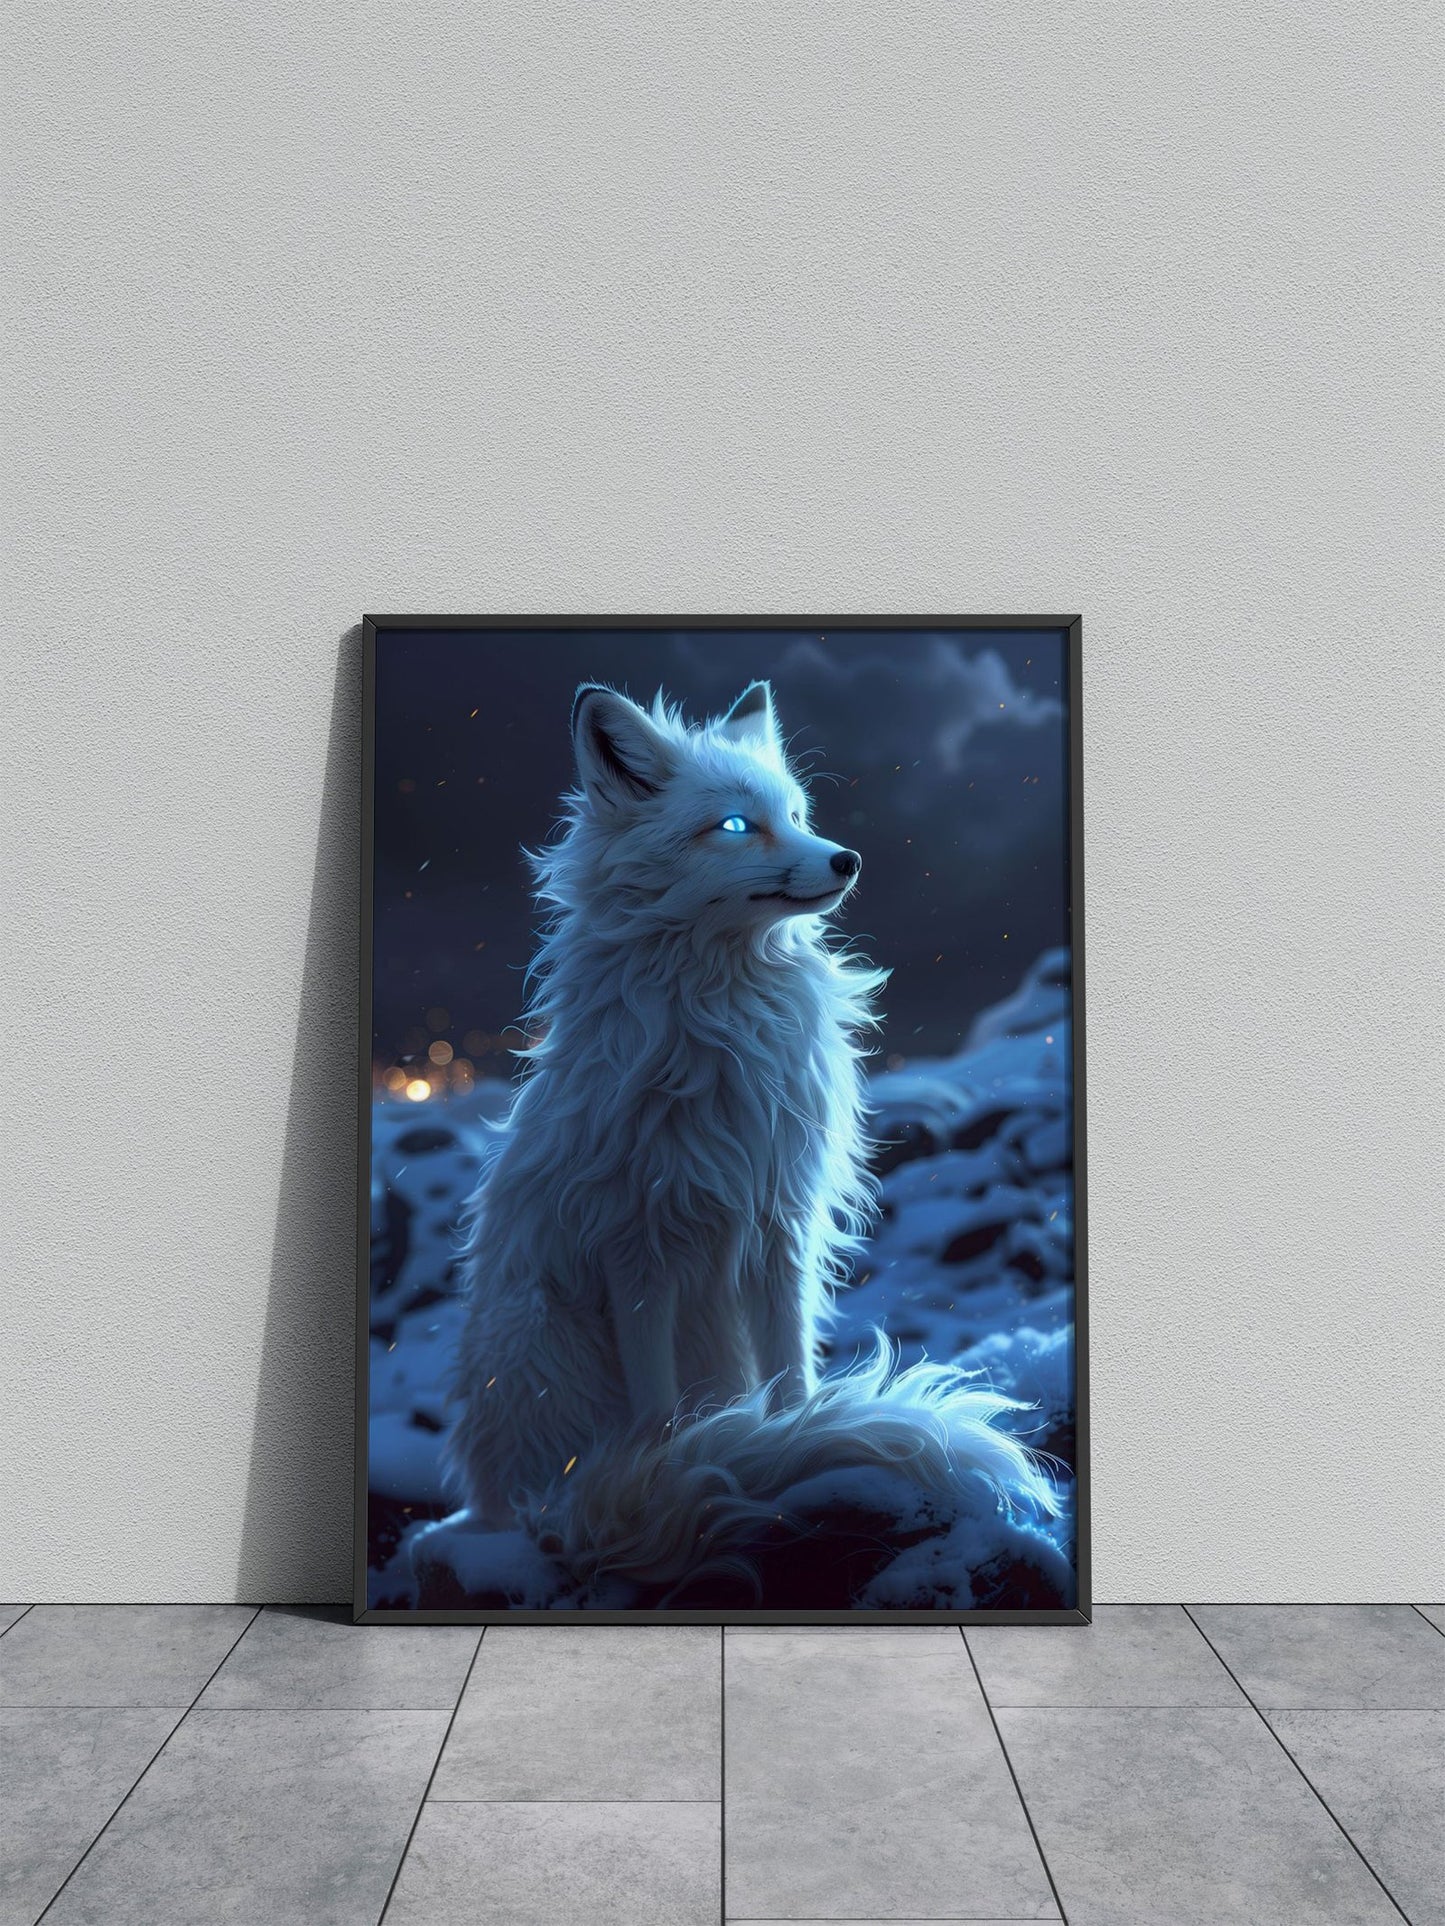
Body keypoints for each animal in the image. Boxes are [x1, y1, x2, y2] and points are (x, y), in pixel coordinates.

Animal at [441, 677, 1053, 1598]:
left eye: (796, 814)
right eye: (734, 825)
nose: (847, 859)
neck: (722, 1019)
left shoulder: (778, 1227)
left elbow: (792, 1377)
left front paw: (792, 1440)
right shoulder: (635, 1247)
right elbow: (661, 1417)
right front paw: (678, 1473)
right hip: (539, 1344)